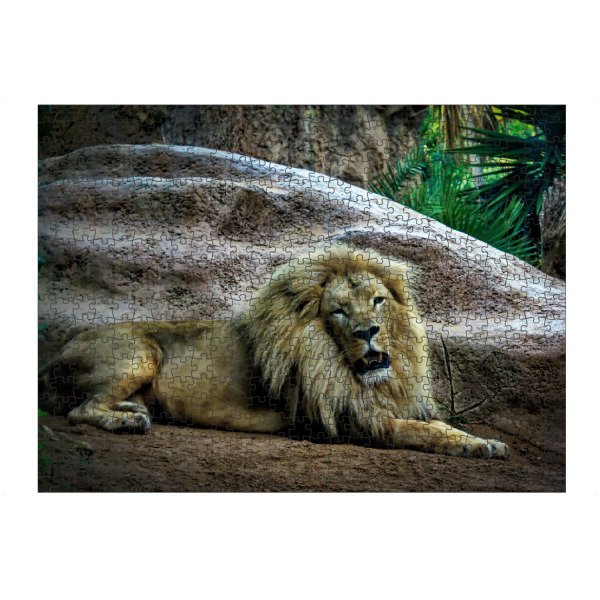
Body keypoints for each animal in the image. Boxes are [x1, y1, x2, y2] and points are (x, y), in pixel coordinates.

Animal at [39, 243, 508, 458]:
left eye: (378, 301)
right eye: (338, 311)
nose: (368, 332)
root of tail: (52, 356)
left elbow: (440, 423)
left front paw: (485, 440)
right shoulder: (353, 422)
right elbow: (426, 432)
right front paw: (476, 446)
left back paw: (134, 409)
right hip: (140, 353)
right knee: (80, 409)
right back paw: (130, 421)